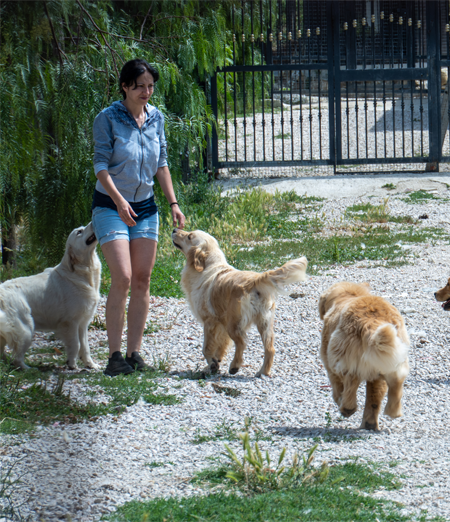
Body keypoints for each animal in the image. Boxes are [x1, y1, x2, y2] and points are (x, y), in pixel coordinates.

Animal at [0, 221, 100, 368]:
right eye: (79, 232)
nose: (93, 221)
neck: (80, 272)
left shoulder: (83, 323)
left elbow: (85, 347)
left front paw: (90, 365)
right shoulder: (71, 322)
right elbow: (76, 345)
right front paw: (72, 365)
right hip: (26, 328)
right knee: (17, 358)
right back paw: (27, 368)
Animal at [173, 230, 310, 376]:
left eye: (189, 236)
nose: (174, 230)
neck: (208, 266)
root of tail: (255, 280)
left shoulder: (210, 322)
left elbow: (206, 348)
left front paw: (212, 364)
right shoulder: (221, 326)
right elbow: (220, 348)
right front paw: (214, 364)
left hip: (234, 324)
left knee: (242, 343)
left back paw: (235, 366)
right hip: (264, 323)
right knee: (270, 348)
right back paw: (263, 372)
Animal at [318, 282, 410, 428]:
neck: (347, 295)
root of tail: (372, 321)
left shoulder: (328, 355)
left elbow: (335, 380)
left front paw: (338, 397)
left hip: (346, 352)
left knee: (351, 378)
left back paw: (347, 408)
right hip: (393, 354)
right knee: (394, 381)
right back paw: (390, 413)